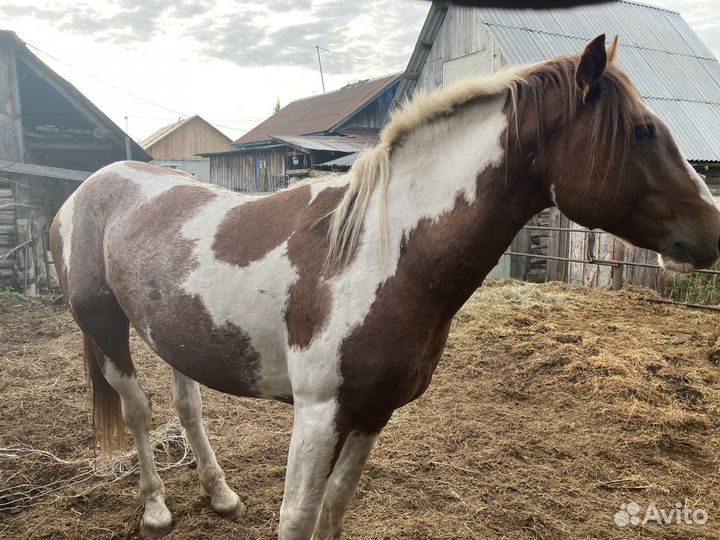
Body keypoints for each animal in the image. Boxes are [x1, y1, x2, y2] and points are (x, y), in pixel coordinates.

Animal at [50, 34, 720, 539]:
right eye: (641, 131)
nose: (712, 230)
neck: (385, 257)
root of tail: (91, 187)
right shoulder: (320, 414)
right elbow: (297, 520)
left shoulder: (373, 413)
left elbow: (333, 511)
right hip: (106, 329)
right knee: (138, 411)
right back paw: (156, 509)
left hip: (173, 331)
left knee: (187, 405)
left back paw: (221, 495)